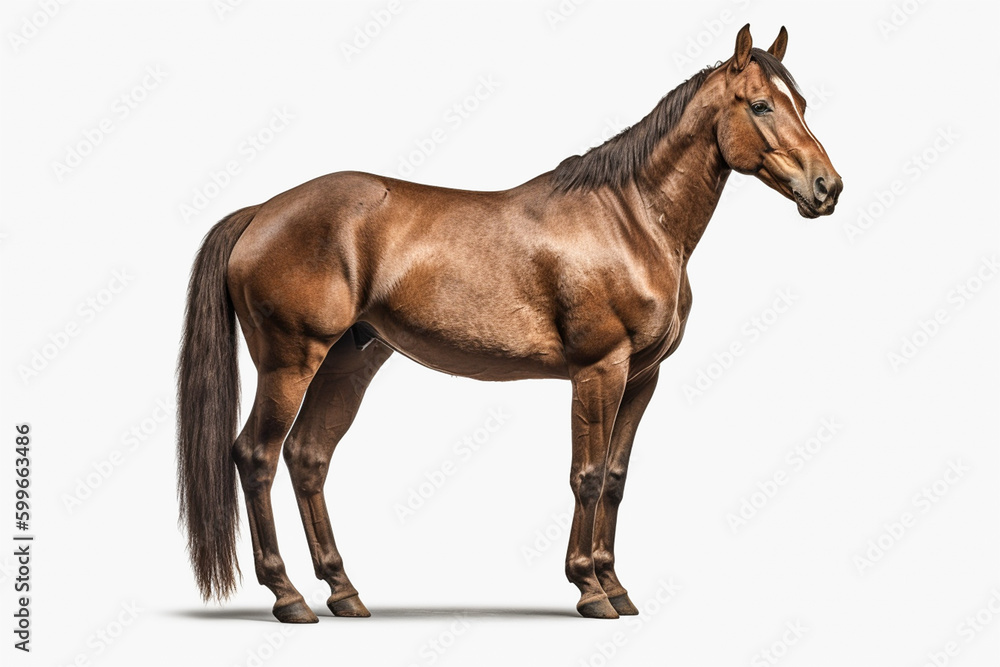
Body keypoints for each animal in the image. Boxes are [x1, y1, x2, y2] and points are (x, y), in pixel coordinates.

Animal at [177, 24, 842, 623]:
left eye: (801, 103)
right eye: (760, 104)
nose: (827, 187)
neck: (629, 221)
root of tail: (262, 212)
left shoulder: (642, 377)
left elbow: (616, 478)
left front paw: (616, 587)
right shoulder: (599, 370)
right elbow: (587, 475)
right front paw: (589, 590)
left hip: (349, 361)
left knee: (309, 457)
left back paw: (343, 592)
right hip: (291, 361)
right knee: (256, 456)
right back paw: (287, 596)